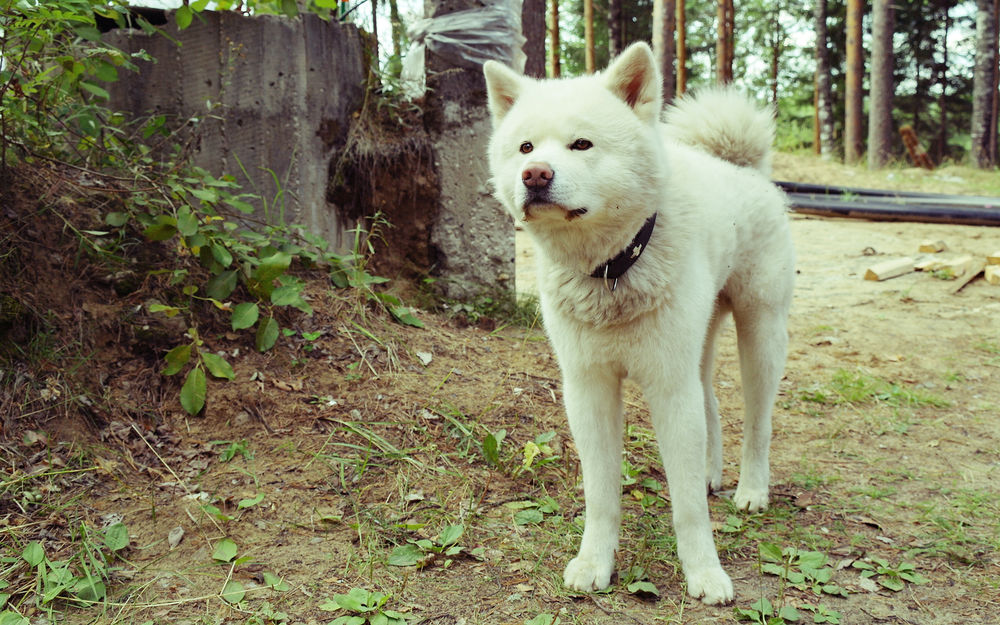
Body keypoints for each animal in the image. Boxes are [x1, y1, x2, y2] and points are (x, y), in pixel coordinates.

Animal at [484, 41, 796, 604]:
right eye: (524, 147)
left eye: (581, 143)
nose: (535, 174)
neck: (613, 269)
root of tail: (738, 165)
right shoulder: (589, 389)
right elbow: (601, 493)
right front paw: (594, 563)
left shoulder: (668, 387)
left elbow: (688, 506)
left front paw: (704, 573)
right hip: (697, 348)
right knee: (713, 406)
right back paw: (715, 473)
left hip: (760, 336)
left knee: (757, 423)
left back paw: (751, 489)